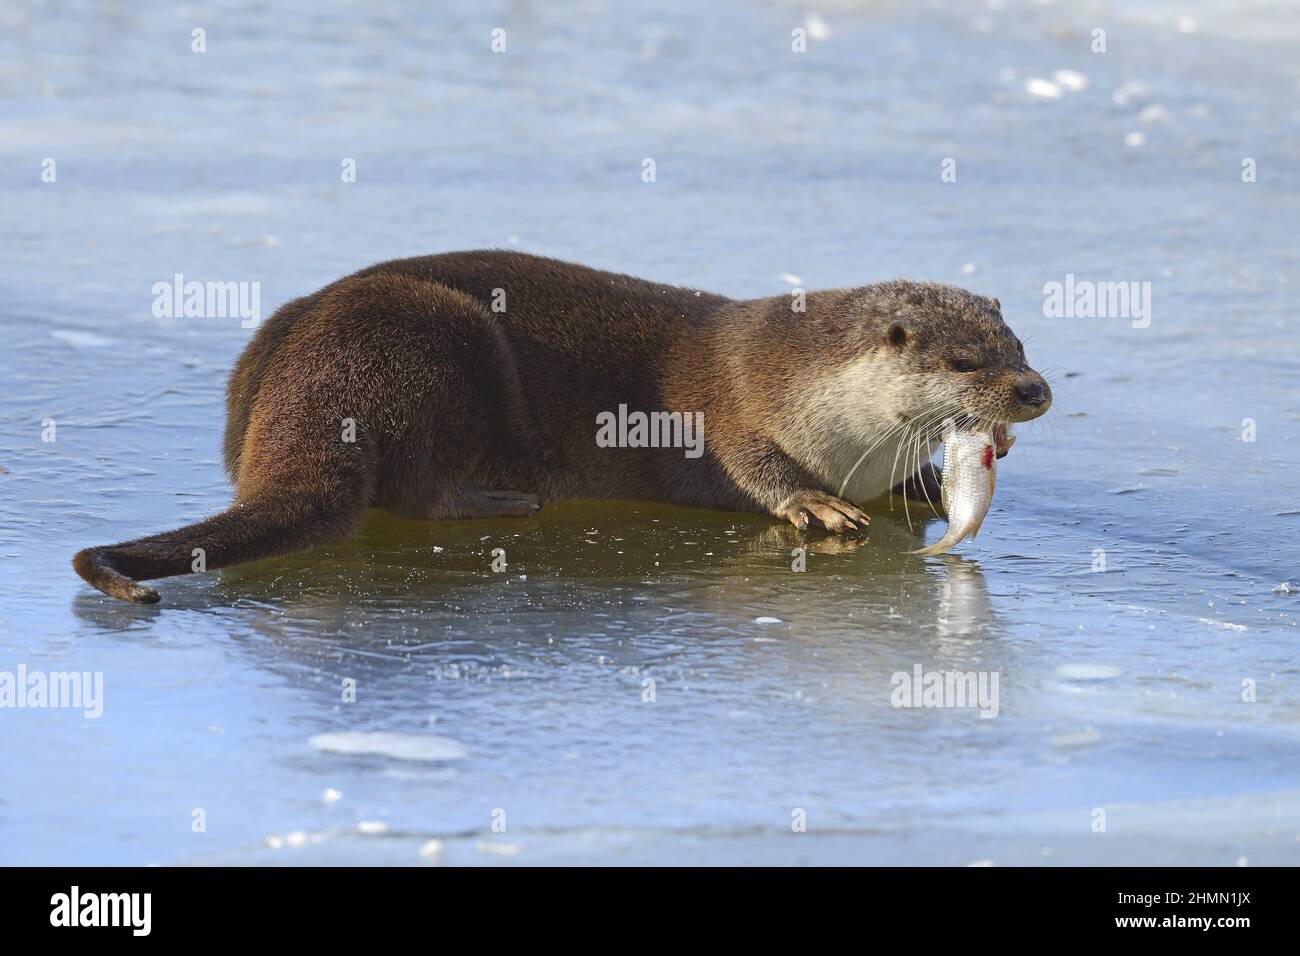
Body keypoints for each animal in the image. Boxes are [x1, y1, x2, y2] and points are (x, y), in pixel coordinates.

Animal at [71, 251, 1050, 600]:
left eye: (1018, 344)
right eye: (968, 362)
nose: (1035, 390)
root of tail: (300, 378)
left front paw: (923, 489)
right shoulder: (734, 404)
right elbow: (752, 464)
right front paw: (815, 506)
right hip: (432, 344)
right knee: (411, 490)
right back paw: (499, 502)